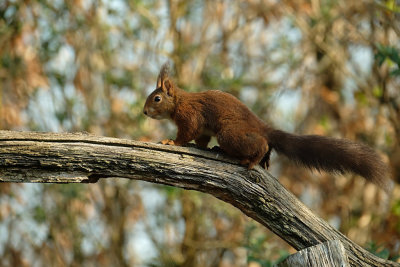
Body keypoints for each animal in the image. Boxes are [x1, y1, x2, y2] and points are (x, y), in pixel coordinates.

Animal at [143, 63, 390, 193]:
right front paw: (201, 147)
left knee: (260, 144)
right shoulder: (203, 129)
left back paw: (251, 160)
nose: (144, 112)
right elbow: (201, 139)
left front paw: (172, 141)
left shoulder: (190, 115)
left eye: (156, 99)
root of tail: (262, 127)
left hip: (230, 133)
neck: (179, 101)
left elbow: (188, 133)